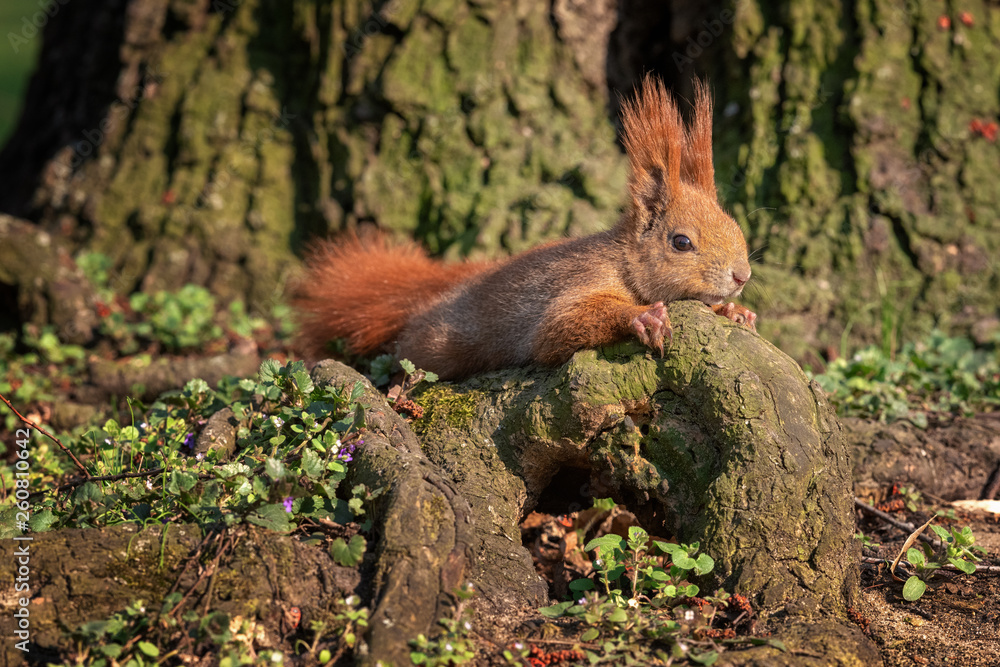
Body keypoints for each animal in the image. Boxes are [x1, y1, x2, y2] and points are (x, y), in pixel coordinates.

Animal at [292, 76, 756, 380]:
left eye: (735, 225)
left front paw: (735, 312)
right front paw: (643, 317)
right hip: (442, 342)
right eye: (681, 242)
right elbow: (556, 330)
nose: (742, 277)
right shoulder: (577, 283)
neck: (624, 261)